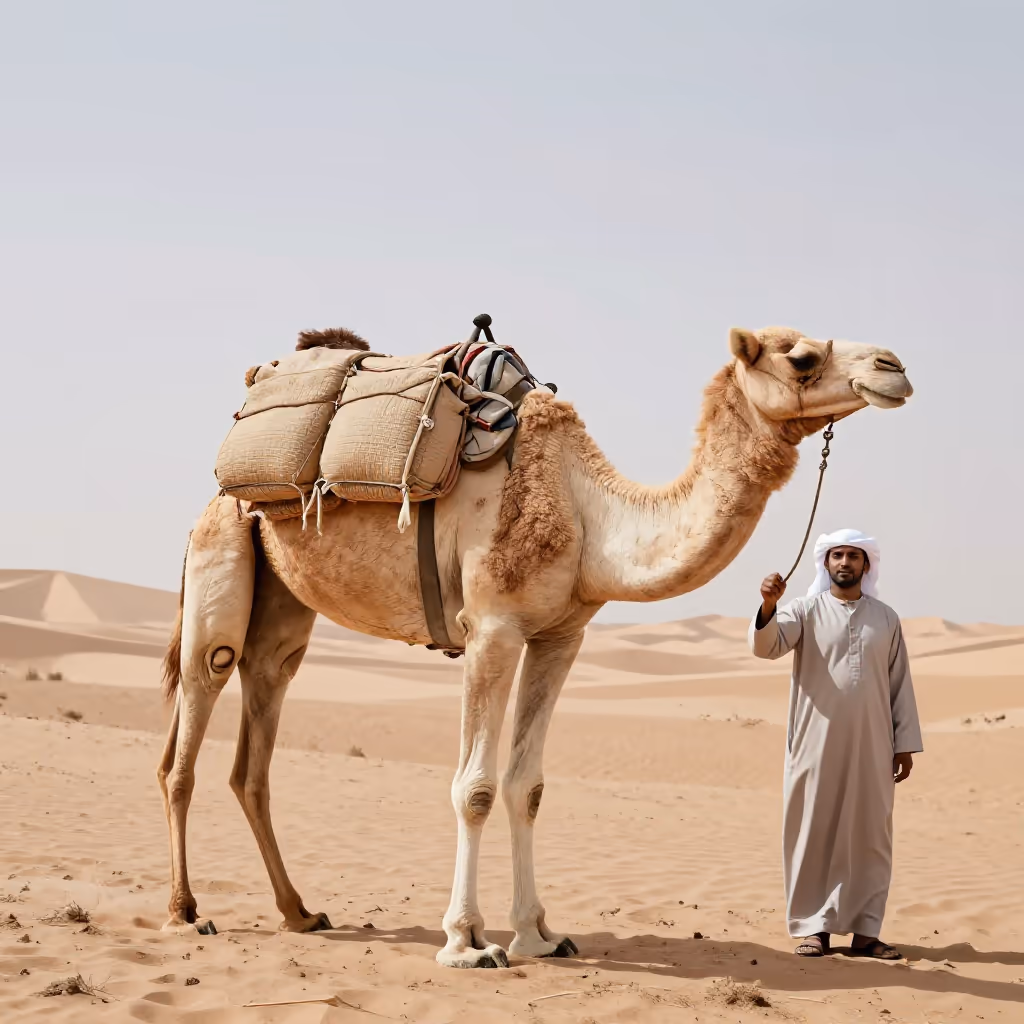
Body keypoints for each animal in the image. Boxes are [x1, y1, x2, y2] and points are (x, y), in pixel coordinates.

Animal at [158, 325, 913, 968]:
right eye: (801, 357)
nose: (894, 367)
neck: (590, 515)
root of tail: (217, 487)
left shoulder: (559, 636)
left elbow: (528, 786)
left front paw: (538, 934)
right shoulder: (492, 627)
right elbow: (476, 788)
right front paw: (467, 941)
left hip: (283, 604)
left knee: (258, 733)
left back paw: (300, 912)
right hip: (221, 554)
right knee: (194, 717)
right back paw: (185, 911)